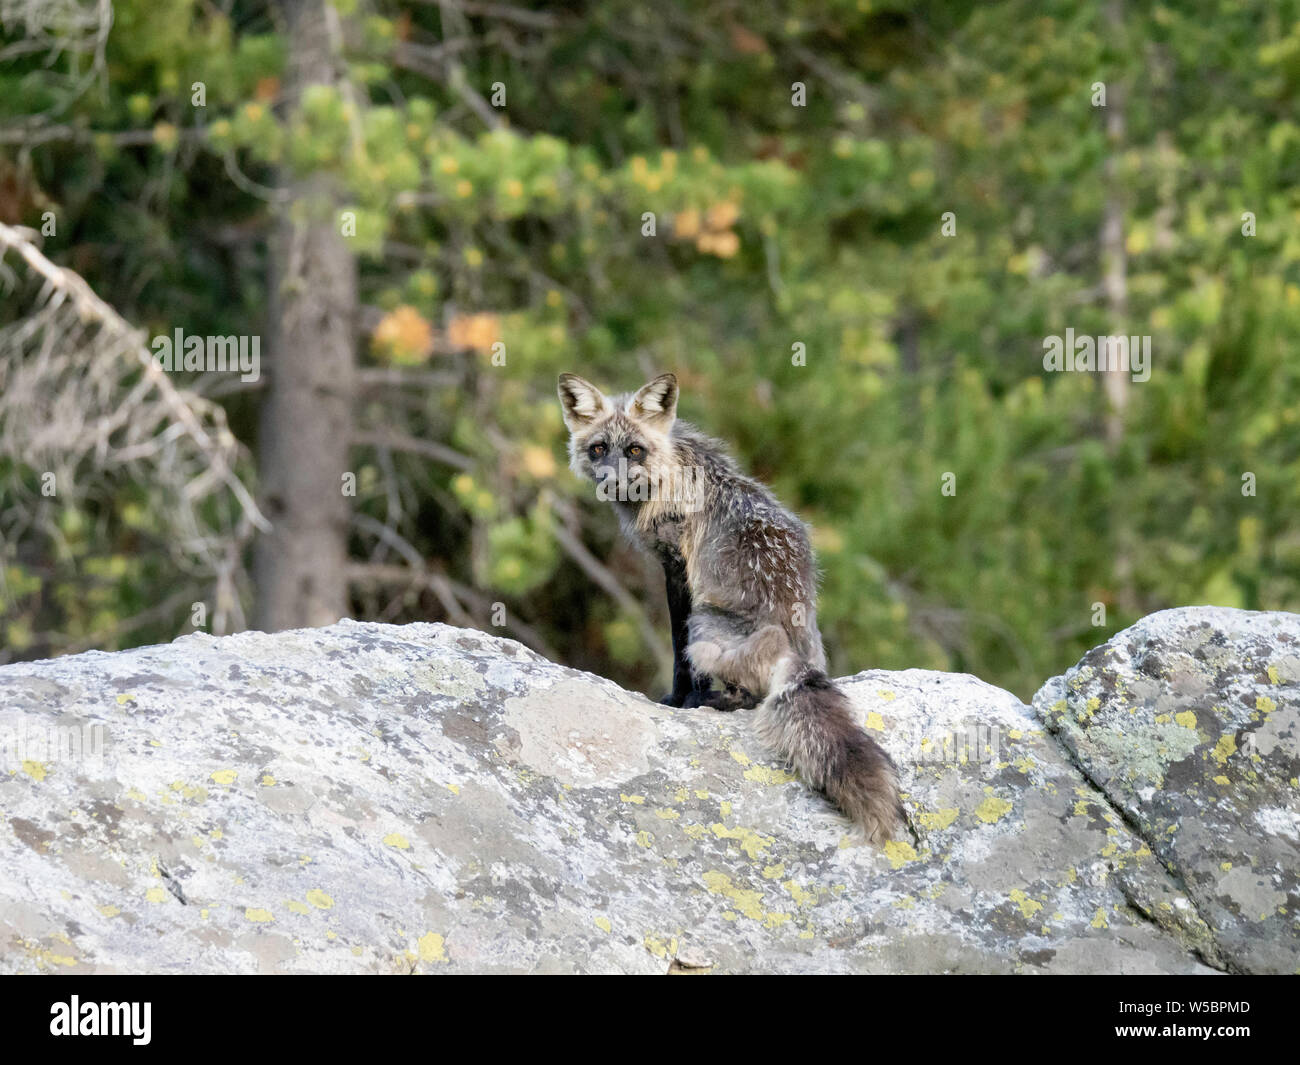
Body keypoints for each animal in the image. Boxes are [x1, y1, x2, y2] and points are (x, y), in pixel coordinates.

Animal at [559, 371, 904, 847]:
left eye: (634, 450)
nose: (612, 480)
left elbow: (678, 652)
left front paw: (682, 700)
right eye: (598, 449)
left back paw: (714, 701)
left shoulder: (680, 572)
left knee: (749, 696)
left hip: (708, 622)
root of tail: (796, 650)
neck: (672, 474)